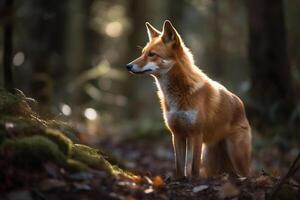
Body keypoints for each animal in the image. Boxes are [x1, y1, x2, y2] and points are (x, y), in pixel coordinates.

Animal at [125, 19, 252, 177]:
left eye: (152, 54)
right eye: (142, 53)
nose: (128, 66)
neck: (178, 95)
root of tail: (241, 105)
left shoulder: (196, 135)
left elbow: (194, 170)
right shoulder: (177, 134)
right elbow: (180, 168)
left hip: (236, 155)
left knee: (247, 174)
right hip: (209, 161)